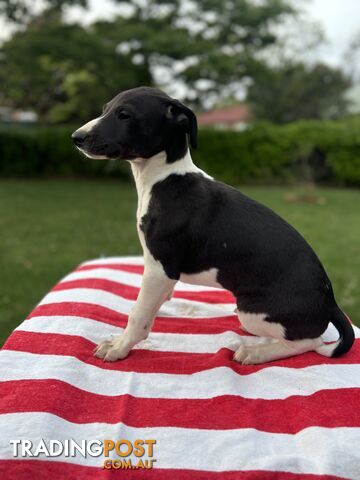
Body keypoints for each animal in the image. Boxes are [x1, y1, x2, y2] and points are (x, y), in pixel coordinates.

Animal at [72, 87, 354, 364]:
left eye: (124, 115)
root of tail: (329, 299)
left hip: (252, 310)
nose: (77, 137)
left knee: (311, 342)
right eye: (105, 109)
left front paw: (120, 347)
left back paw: (256, 353)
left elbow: (138, 313)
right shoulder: (162, 274)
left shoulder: (159, 268)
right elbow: (153, 303)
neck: (165, 178)